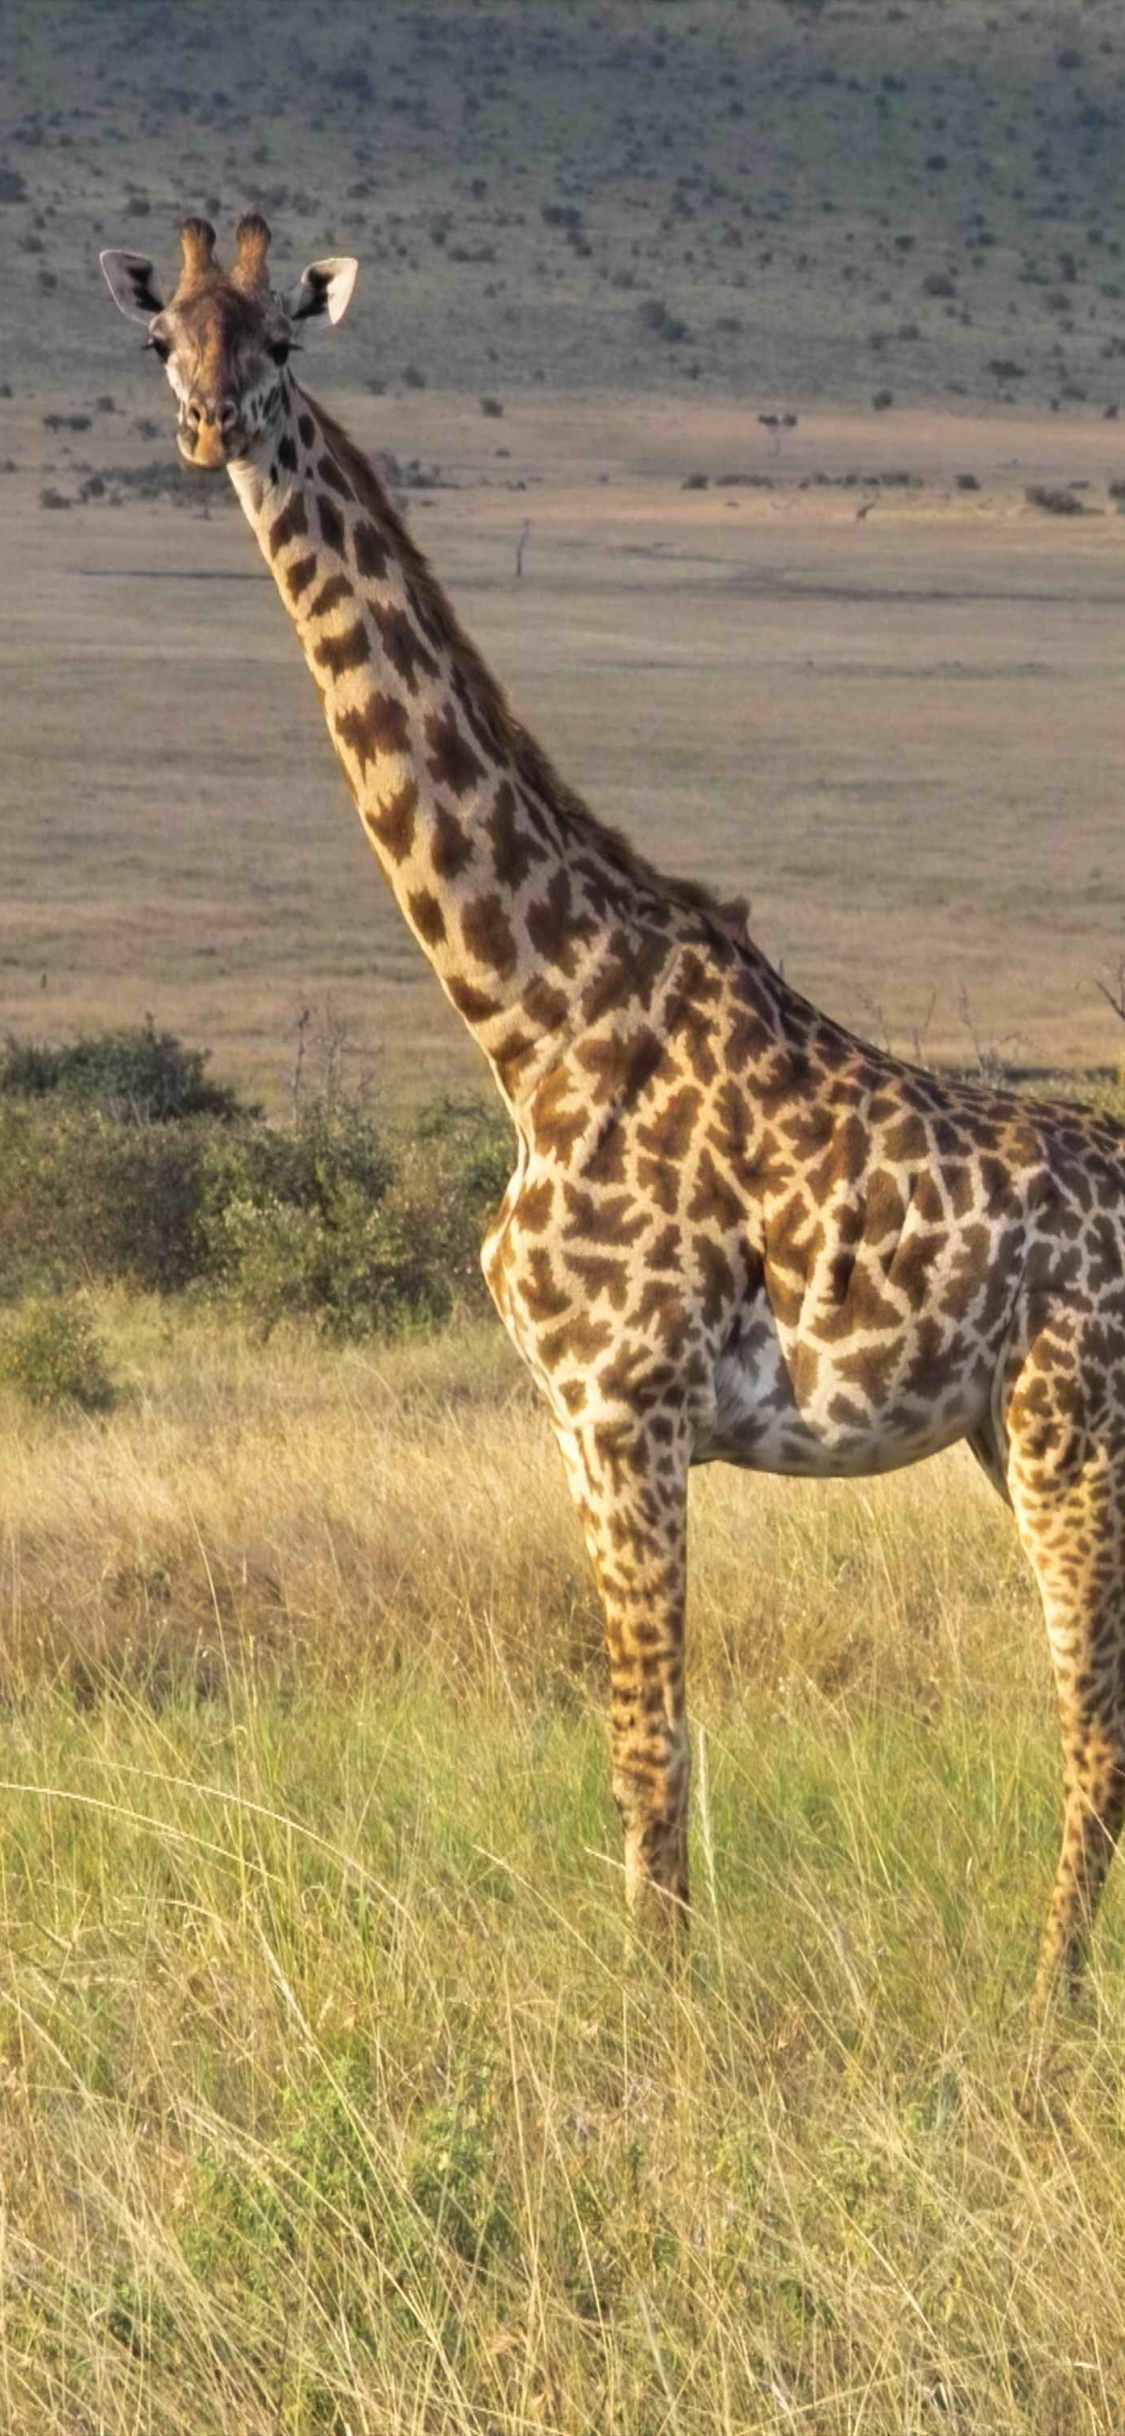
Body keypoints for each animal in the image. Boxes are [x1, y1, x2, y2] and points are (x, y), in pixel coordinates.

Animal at [100, 215, 1125, 2009]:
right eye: (168, 340)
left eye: (280, 342)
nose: (210, 430)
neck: (540, 1017)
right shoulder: (577, 1424)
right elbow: (642, 1749)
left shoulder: (628, 1405)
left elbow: (652, 1751)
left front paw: (659, 2015)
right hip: (1011, 1436)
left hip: (1080, 1424)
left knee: (1096, 1716)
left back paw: (1048, 1995)